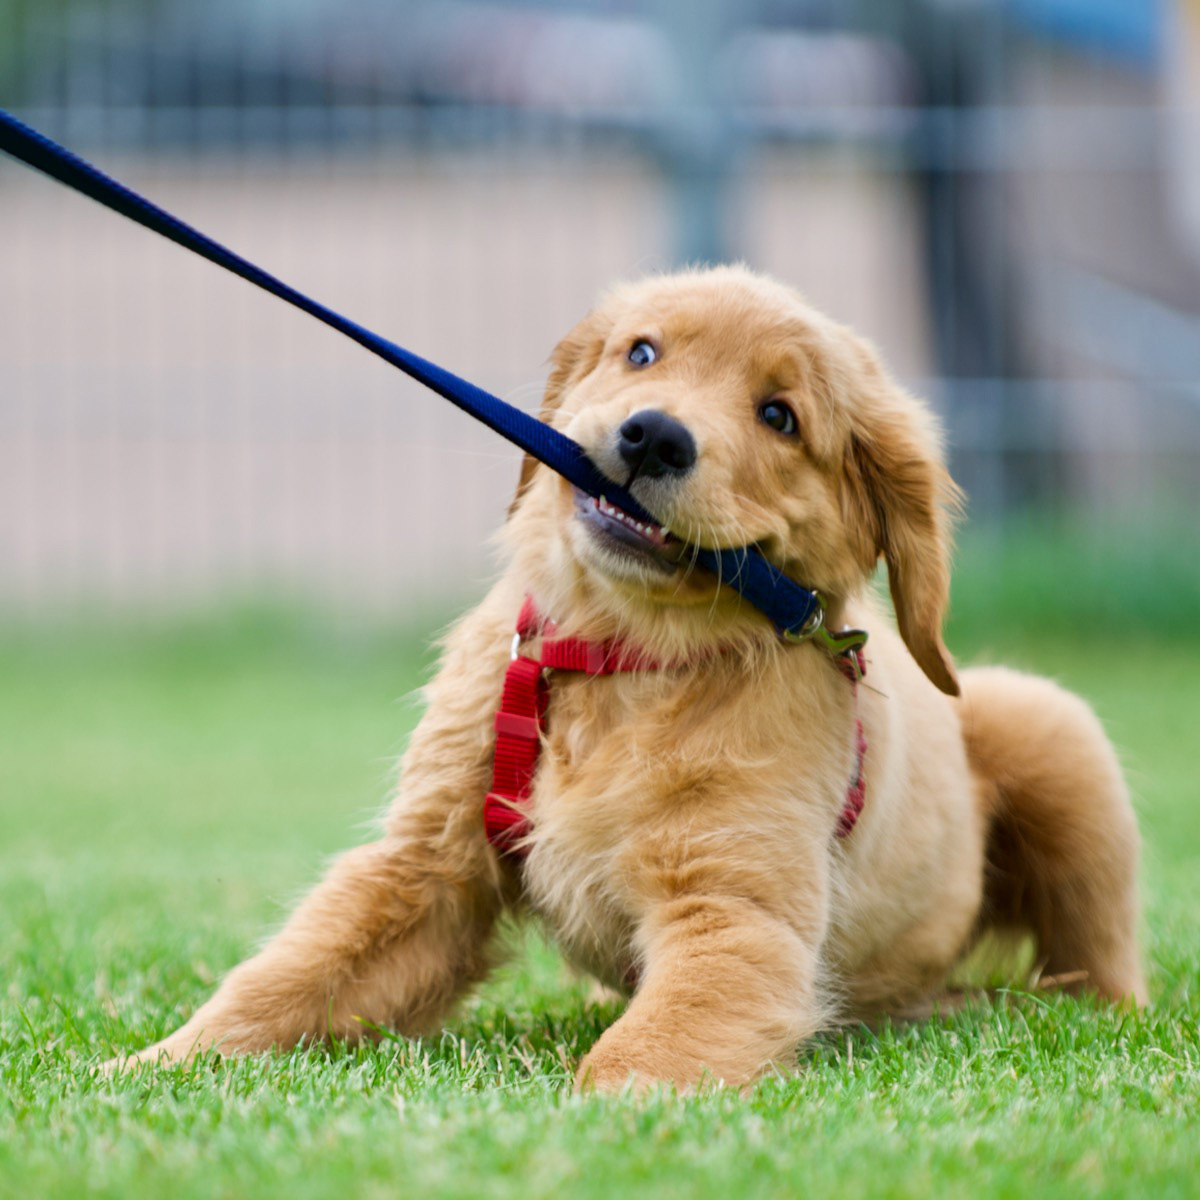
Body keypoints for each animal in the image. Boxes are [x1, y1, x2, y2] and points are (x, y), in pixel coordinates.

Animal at [119, 267, 1142, 1094]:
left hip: (1056, 733)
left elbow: (647, 1052)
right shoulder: (422, 870)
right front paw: (143, 1069)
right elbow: (290, 977)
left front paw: (602, 1122)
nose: (653, 437)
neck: (628, 658)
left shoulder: (733, 913)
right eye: (641, 352)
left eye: (780, 415)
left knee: (1101, 966)